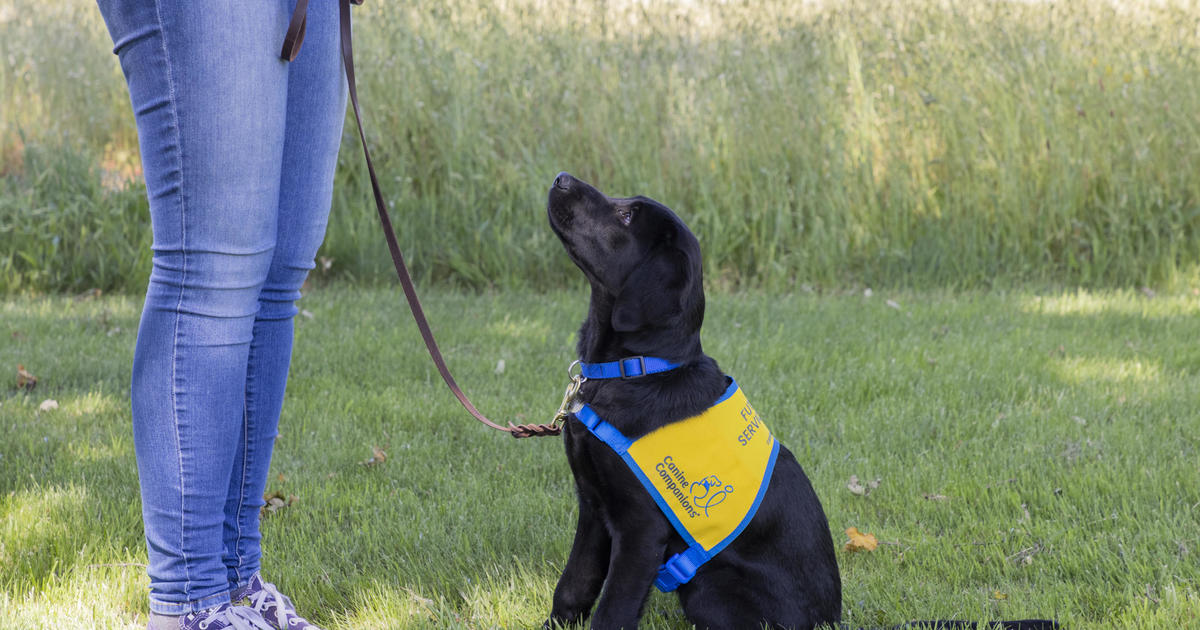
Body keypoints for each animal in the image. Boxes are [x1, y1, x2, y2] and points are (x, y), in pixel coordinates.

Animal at [544, 171, 1060, 628]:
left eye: (627, 215)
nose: (560, 177)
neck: (639, 369)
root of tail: (831, 623)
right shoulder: (594, 507)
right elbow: (574, 584)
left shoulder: (639, 531)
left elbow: (613, 610)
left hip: (710, 587)